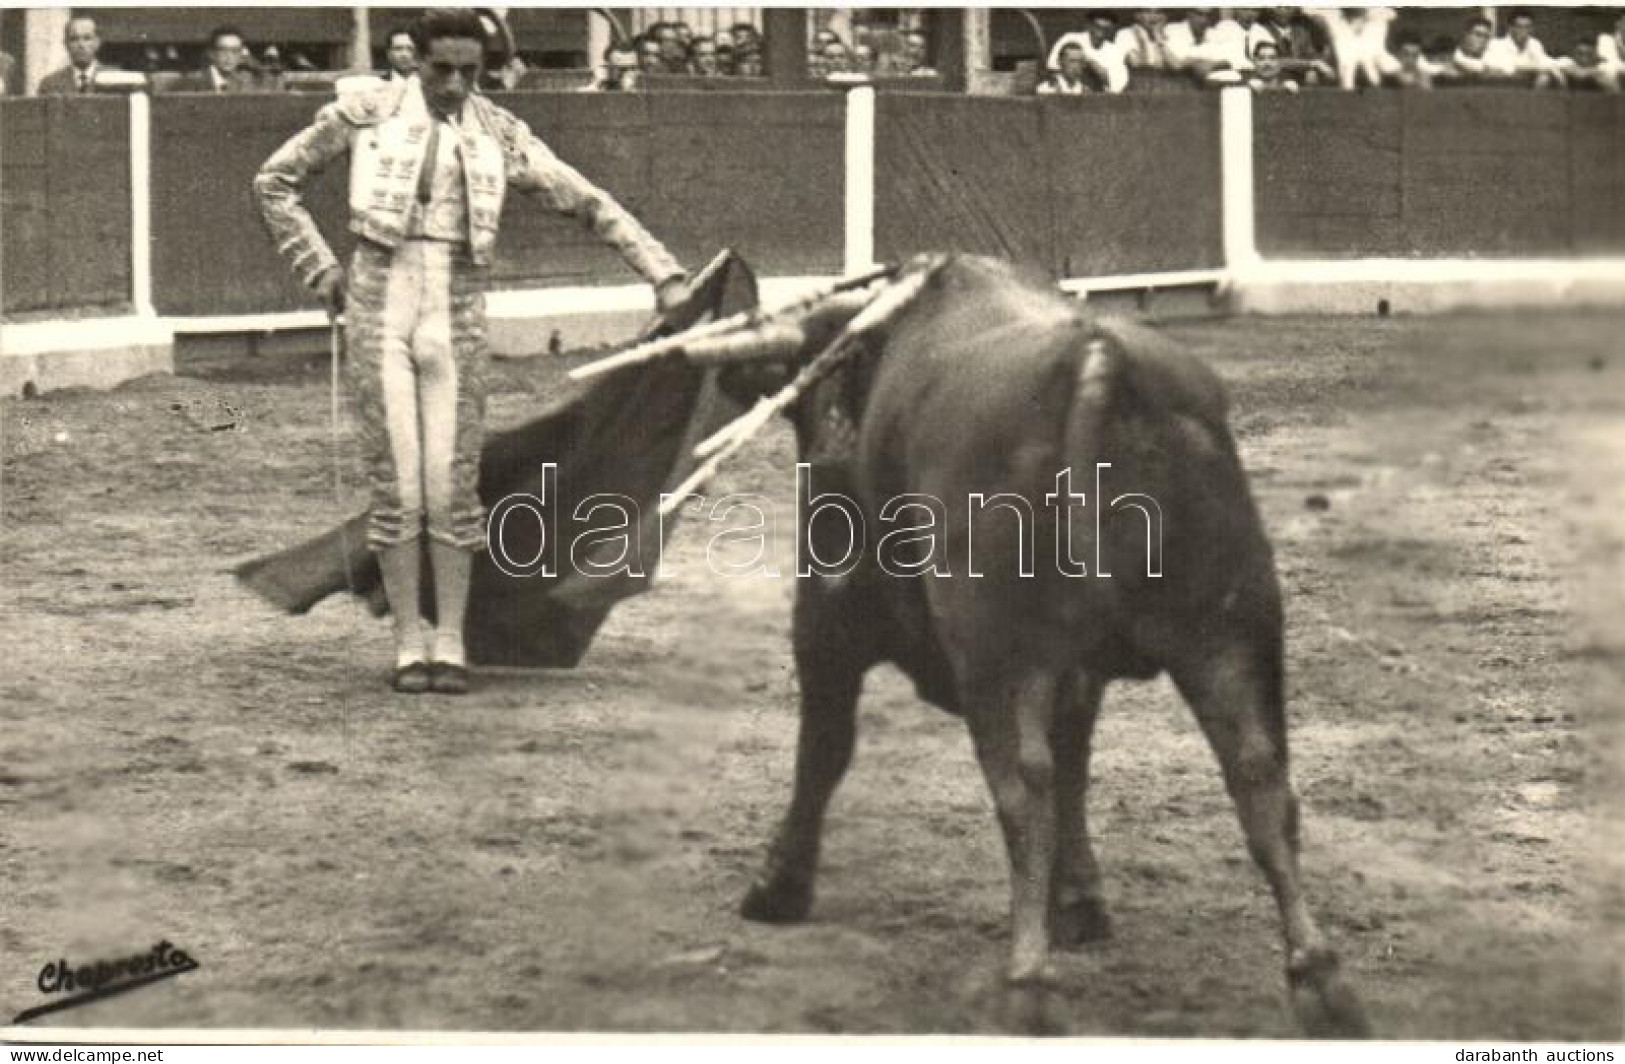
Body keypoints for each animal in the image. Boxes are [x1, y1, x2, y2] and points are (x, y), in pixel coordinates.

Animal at [627, 253, 1365, 1039]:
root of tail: (1098, 363)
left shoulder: (826, 616)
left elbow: (824, 751)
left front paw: (775, 889)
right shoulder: (1077, 672)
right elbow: (1077, 765)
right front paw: (1080, 903)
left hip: (1001, 656)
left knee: (1022, 791)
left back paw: (1026, 984)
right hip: (1231, 630)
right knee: (1259, 773)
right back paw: (1320, 980)